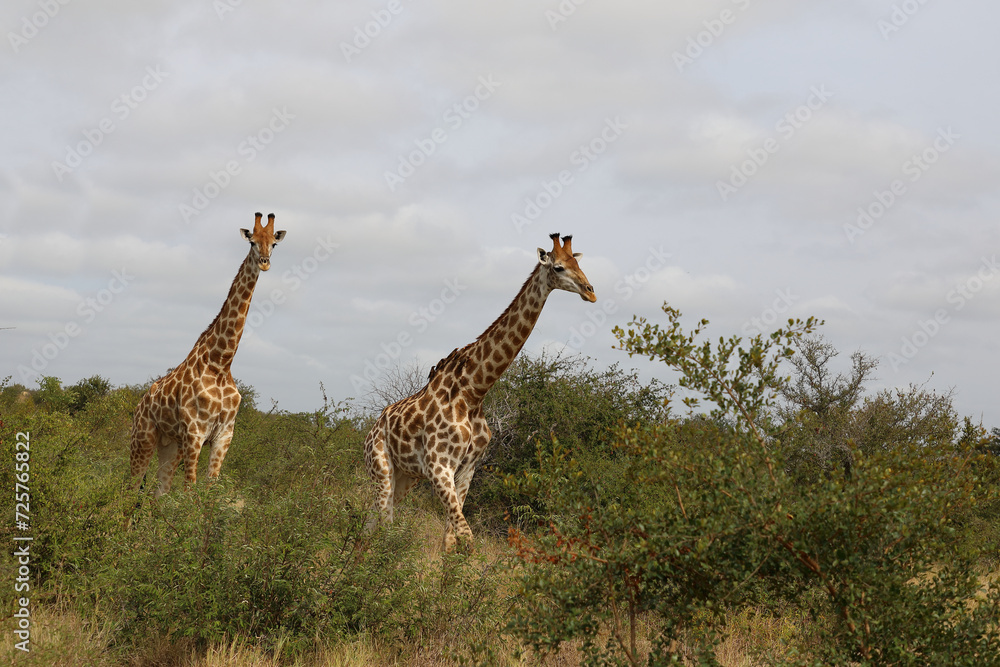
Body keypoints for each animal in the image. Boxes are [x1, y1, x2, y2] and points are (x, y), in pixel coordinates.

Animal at [130, 212, 286, 497]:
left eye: (274, 243)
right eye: (252, 242)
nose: (265, 263)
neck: (221, 362)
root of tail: (139, 405)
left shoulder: (224, 435)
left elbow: (210, 489)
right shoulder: (195, 433)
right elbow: (190, 491)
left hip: (170, 444)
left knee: (159, 493)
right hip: (143, 438)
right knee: (130, 489)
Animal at [364, 233, 596, 551]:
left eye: (578, 263)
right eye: (559, 267)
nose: (590, 292)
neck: (474, 391)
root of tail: (372, 428)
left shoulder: (467, 469)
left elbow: (451, 539)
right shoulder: (439, 466)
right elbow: (467, 536)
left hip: (405, 477)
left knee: (372, 523)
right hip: (381, 469)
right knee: (383, 524)